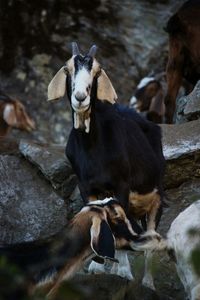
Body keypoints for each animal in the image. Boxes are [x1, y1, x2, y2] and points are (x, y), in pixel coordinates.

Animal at [47, 42, 165, 290]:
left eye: (97, 71)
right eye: (68, 68)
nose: (80, 97)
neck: (93, 148)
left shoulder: (121, 186)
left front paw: (123, 271)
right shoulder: (87, 188)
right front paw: (97, 266)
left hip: (156, 198)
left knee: (152, 237)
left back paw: (148, 283)